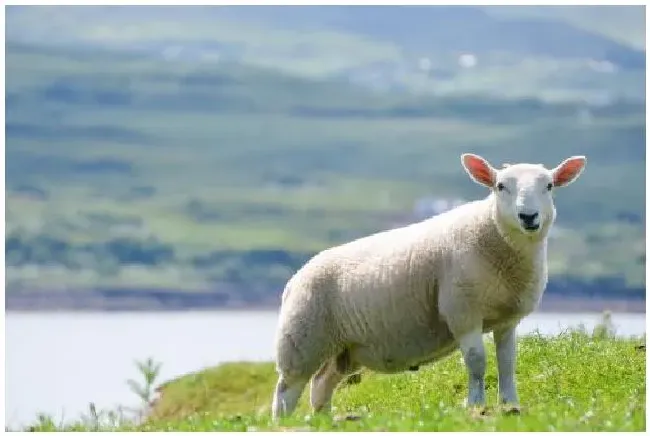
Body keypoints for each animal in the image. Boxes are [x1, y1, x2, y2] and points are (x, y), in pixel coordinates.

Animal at [270, 152, 584, 418]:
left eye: (549, 186)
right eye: (500, 186)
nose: (528, 217)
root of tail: (295, 278)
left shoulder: (507, 320)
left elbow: (507, 363)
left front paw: (510, 405)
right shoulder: (462, 312)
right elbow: (477, 362)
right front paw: (476, 406)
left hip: (344, 349)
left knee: (322, 383)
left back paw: (323, 420)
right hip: (302, 339)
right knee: (286, 391)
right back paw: (283, 423)